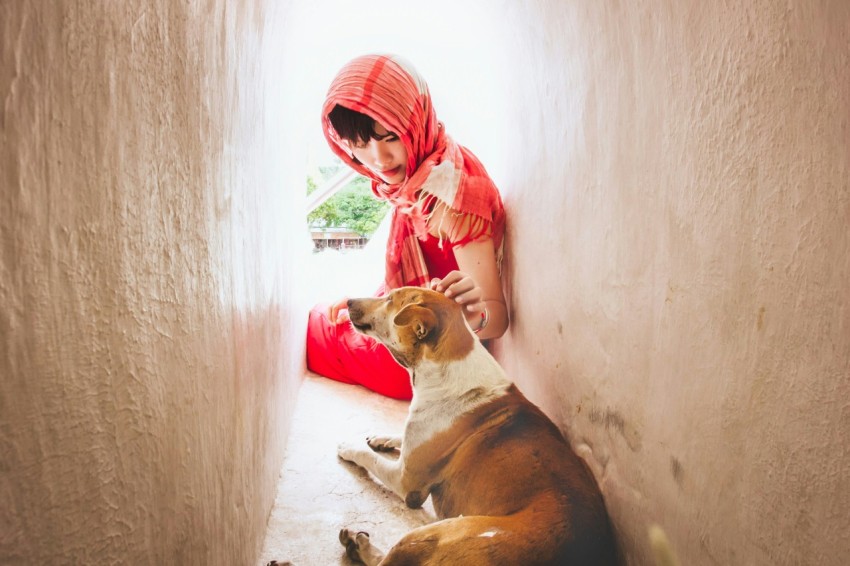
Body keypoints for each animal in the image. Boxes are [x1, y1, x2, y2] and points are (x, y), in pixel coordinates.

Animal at [332, 290, 616, 564]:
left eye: (390, 299)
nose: (348, 301)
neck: (442, 372)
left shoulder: (406, 481)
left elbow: (368, 457)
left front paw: (349, 447)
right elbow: (399, 435)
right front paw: (380, 438)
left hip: (437, 531)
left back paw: (360, 546)